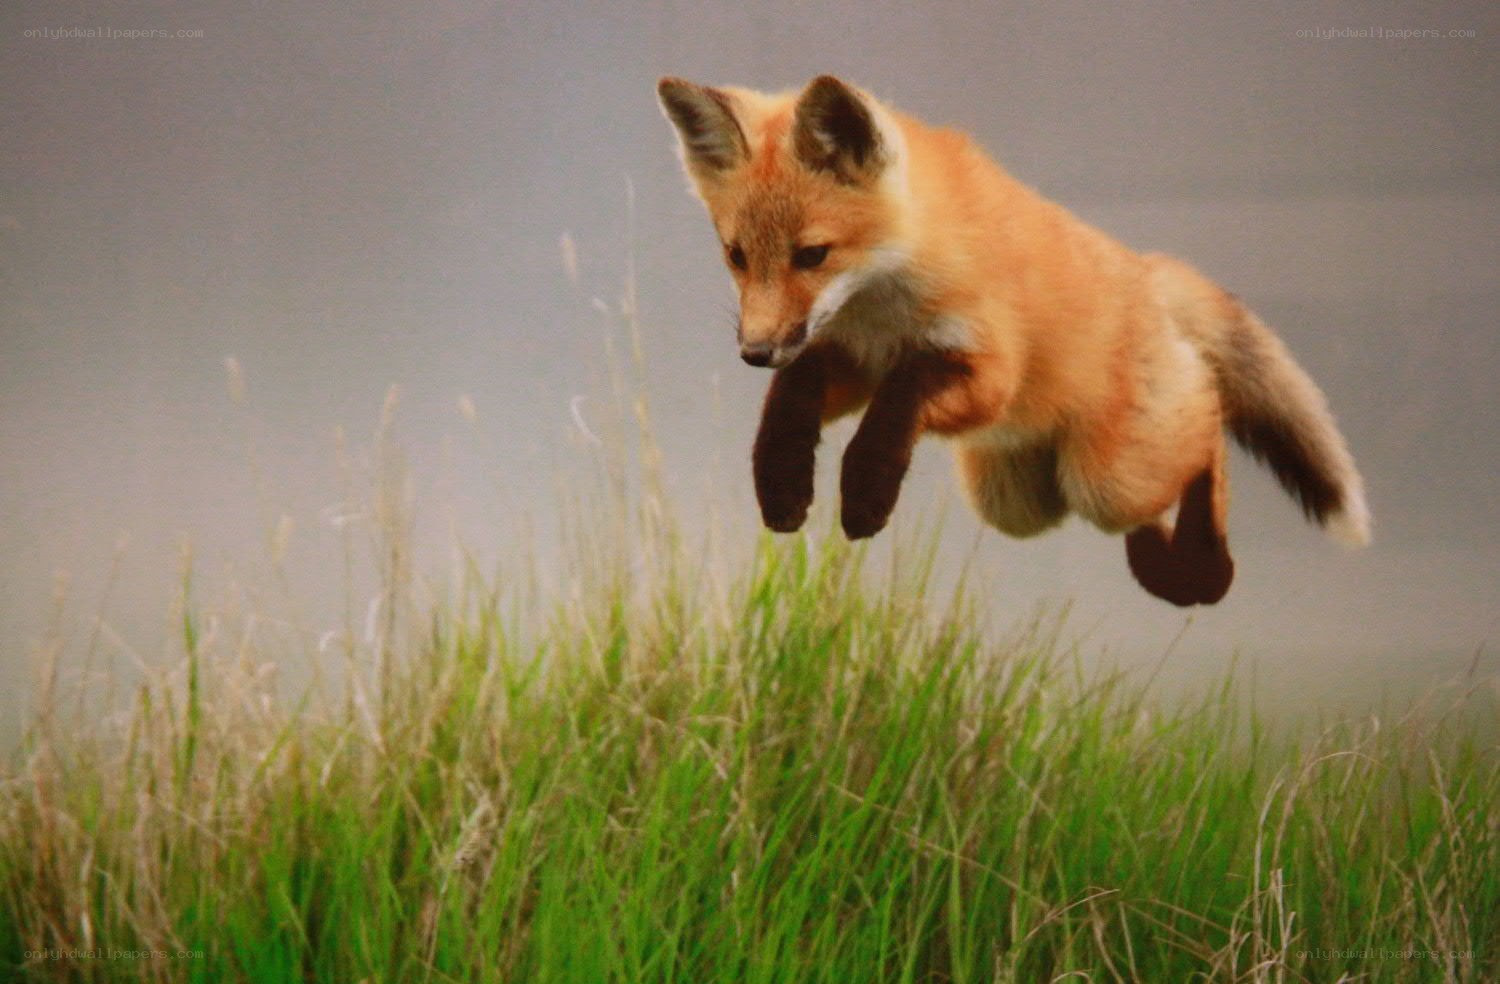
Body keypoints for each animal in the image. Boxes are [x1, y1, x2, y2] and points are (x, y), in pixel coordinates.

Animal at [656, 74, 1370, 606]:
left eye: (812, 255)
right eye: (737, 257)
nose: (753, 352)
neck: (884, 309)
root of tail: (1147, 270)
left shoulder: (987, 373)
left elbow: (898, 402)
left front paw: (864, 492)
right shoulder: (849, 359)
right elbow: (791, 398)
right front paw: (780, 482)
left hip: (1108, 477)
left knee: (1208, 431)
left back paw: (1205, 569)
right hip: (1014, 501)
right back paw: (1167, 570)